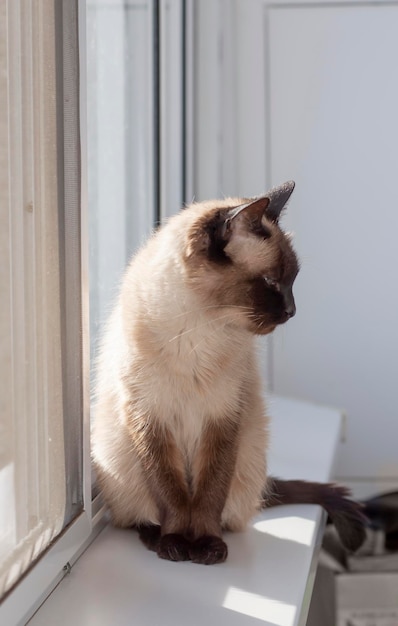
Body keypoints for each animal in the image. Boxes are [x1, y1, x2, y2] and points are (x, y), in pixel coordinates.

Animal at [91, 182, 366, 564]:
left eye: (292, 281)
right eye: (271, 282)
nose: (292, 311)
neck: (200, 330)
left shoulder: (223, 419)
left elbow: (210, 495)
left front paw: (206, 546)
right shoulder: (150, 419)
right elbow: (171, 495)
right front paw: (177, 544)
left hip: (249, 450)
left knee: (230, 512)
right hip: (119, 456)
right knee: (139, 516)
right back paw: (158, 538)